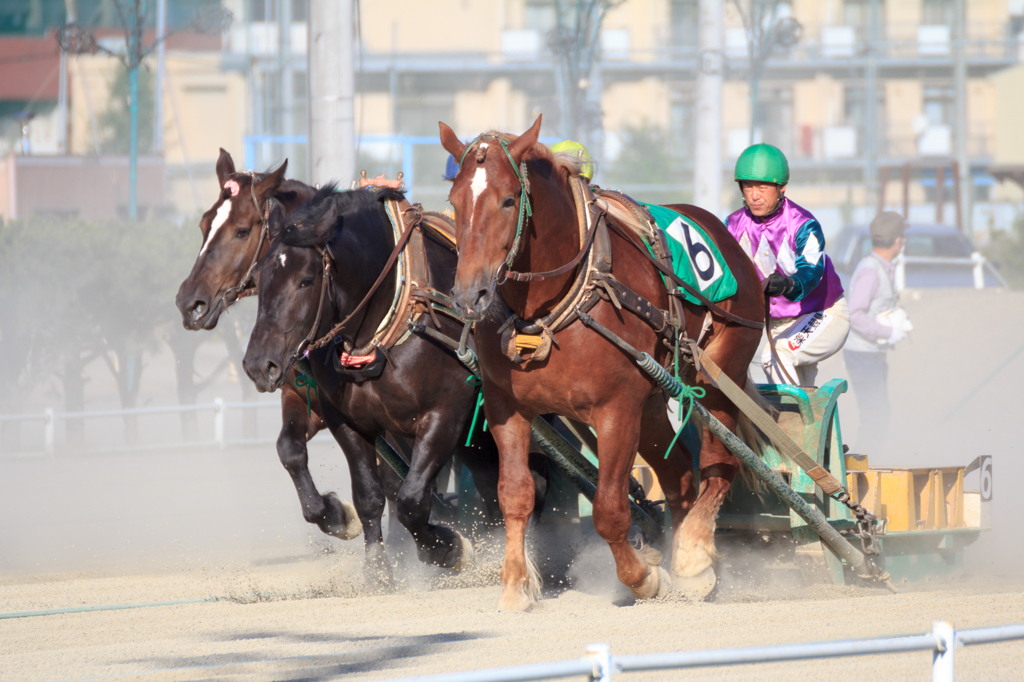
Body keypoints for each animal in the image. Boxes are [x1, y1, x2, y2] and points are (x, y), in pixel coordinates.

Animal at [175, 148, 364, 540]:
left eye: (242, 230)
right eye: (203, 224)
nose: (189, 302)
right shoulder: (300, 396)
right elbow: (289, 449)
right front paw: (336, 513)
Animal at [242, 184, 544, 573]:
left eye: (306, 280)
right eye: (259, 279)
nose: (257, 365)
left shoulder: (445, 415)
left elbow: (411, 501)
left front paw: (448, 548)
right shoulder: (346, 420)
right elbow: (368, 496)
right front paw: (375, 569)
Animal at [440, 116, 770, 610]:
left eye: (508, 199)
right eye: (454, 201)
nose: (468, 295)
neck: (553, 306)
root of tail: (727, 237)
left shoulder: (617, 412)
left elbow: (610, 510)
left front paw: (643, 577)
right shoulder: (507, 409)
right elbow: (514, 495)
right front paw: (516, 585)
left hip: (720, 372)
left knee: (718, 464)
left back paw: (693, 560)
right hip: (652, 403)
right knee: (679, 475)